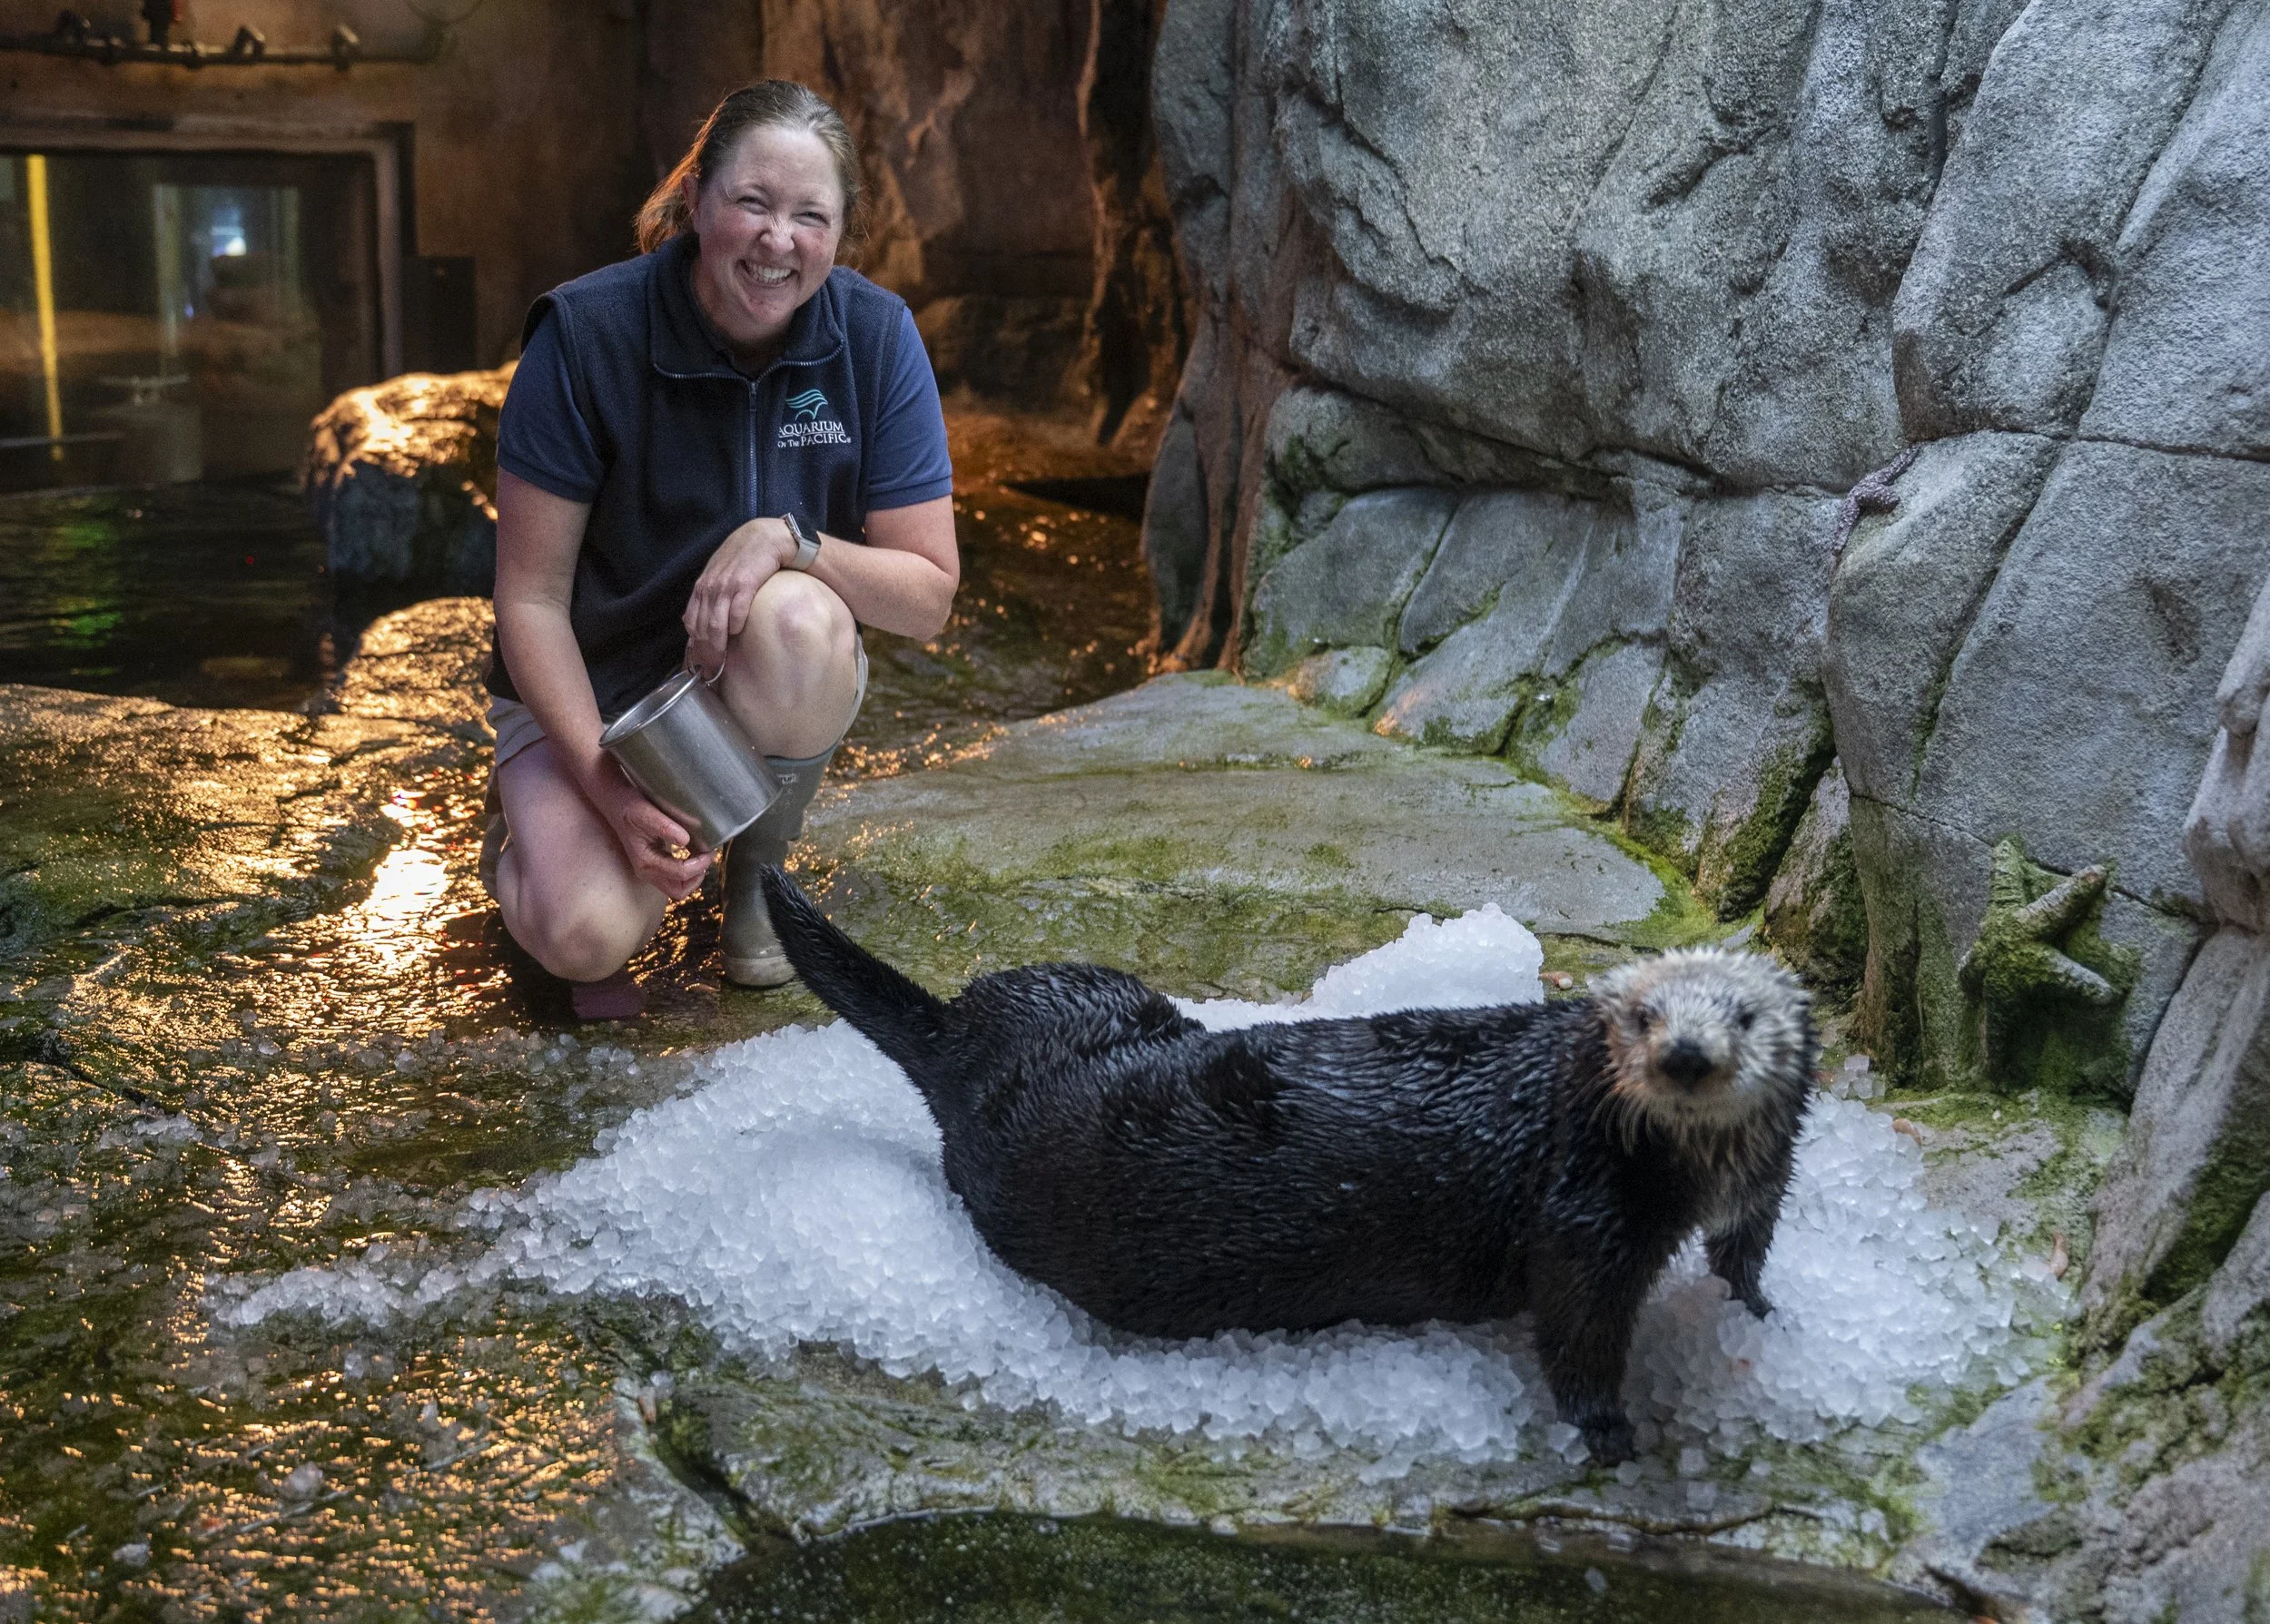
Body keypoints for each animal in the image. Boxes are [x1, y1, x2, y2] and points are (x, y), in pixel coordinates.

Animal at [760, 869, 1815, 1463]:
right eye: (1641, 1013)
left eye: (1746, 1013)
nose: (1685, 1054)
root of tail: (965, 1045)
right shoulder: (1584, 1218)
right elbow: (1577, 1329)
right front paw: (1607, 1434)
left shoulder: (1759, 1185)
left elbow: (1745, 1251)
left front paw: (1761, 1313)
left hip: (1077, 991)